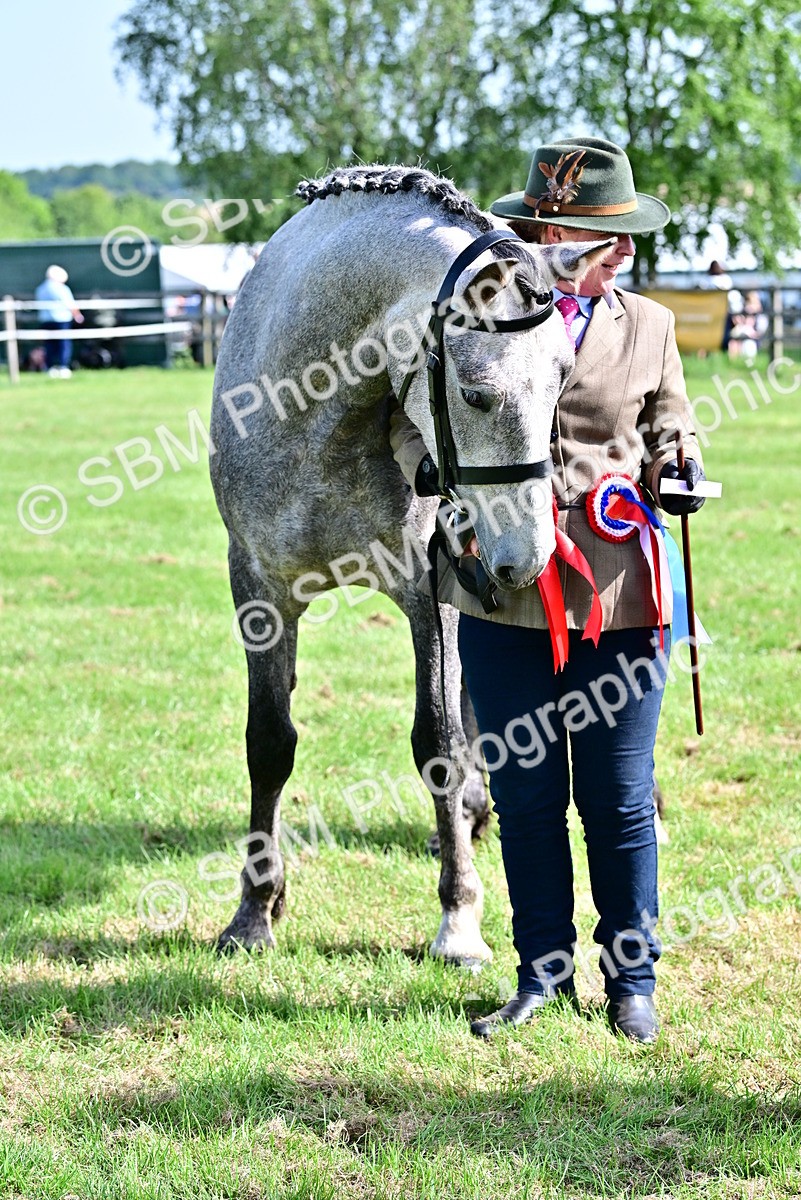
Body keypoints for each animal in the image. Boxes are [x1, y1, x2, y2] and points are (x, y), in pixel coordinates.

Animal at [209, 165, 612, 966]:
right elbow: (269, 742)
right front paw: (254, 912)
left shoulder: (434, 593)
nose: (525, 559)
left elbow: (440, 742)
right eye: (476, 393)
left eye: (562, 378)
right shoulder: (260, 590)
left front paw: (458, 920)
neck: (315, 420)